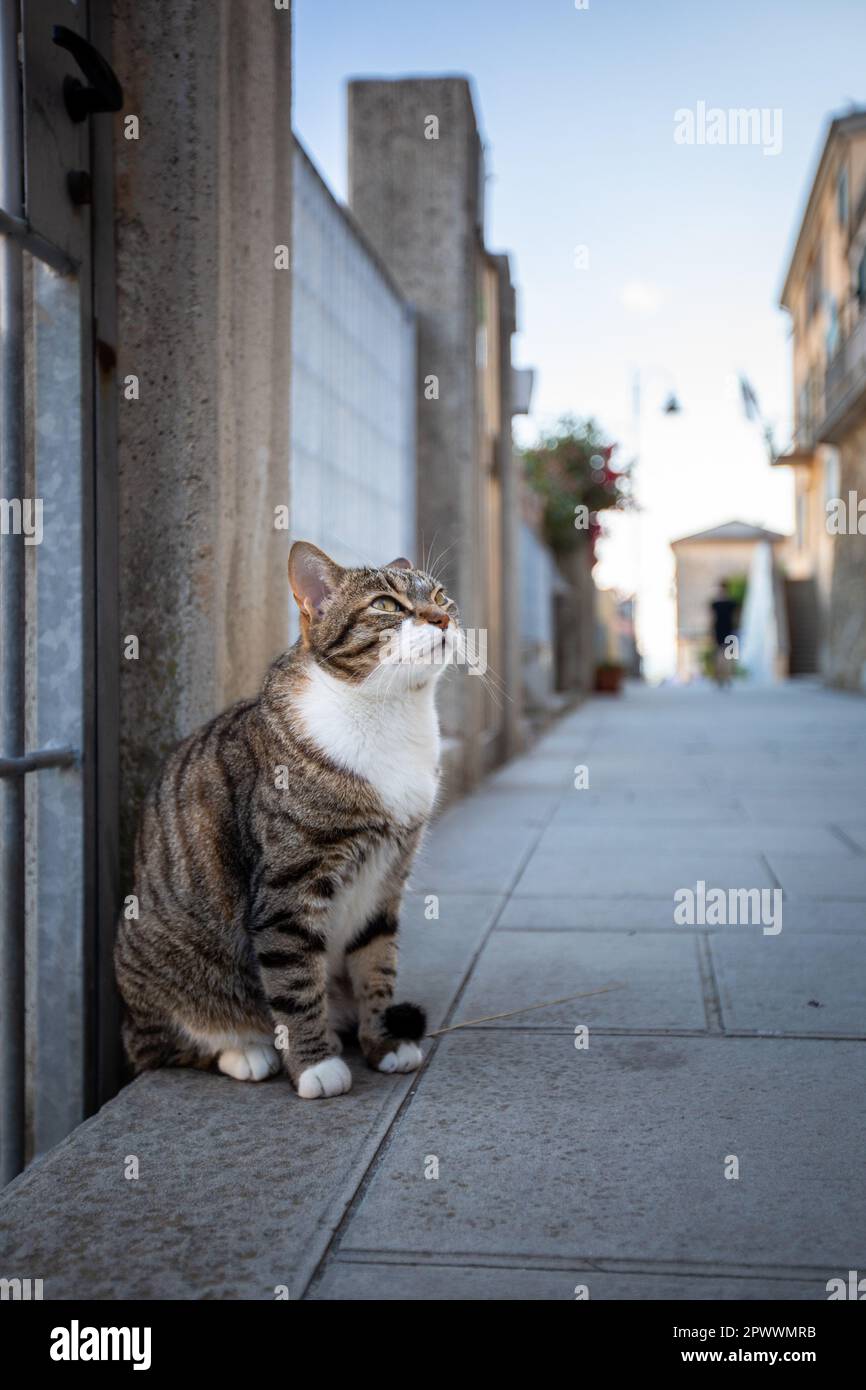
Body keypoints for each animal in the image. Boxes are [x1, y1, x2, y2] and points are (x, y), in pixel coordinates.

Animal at [115, 542, 461, 1095]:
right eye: (386, 605)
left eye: (441, 595)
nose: (444, 617)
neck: (389, 712)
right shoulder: (290, 886)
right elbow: (296, 982)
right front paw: (315, 1064)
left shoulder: (387, 877)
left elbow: (377, 965)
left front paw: (382, 1042)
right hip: (159, 962)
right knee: (158, 1045)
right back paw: (247, 1051)